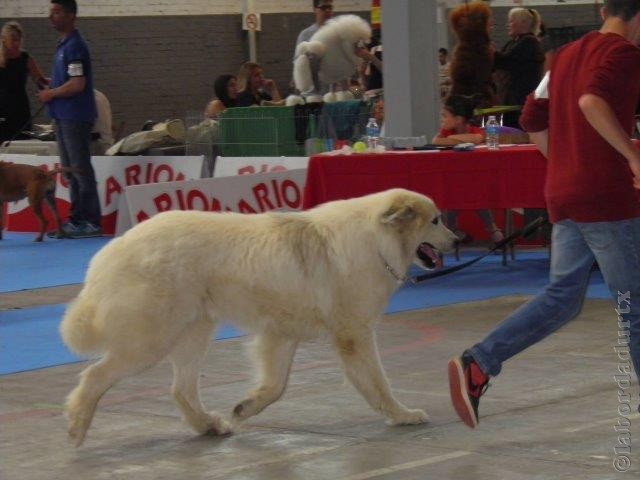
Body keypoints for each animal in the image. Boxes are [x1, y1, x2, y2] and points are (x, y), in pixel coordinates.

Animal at [60, 188, 458, 446]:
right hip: (152, 340)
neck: (377, 241)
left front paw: (244, 407)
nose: (458, 240)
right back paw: (77, 426)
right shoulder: (353, 335)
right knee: (94, 376)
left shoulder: (280, 335)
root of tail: (114, 248)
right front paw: (403, 415)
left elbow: (276, 386)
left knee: (181, 389)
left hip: (195, 332)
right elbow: (378, 384)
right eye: (436, 220)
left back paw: (210, 426)